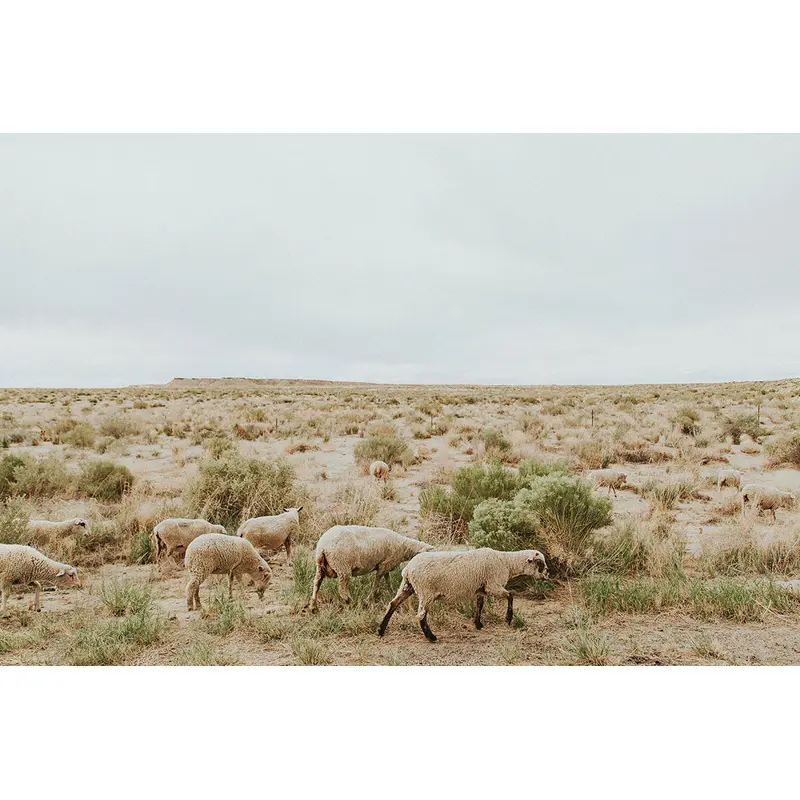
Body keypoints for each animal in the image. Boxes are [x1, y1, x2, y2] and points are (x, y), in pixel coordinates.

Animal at [379, 547, 548, 642]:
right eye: (540, 563)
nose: (548, 574)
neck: (507, 562)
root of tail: (407, 569)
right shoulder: (493, 585)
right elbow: (510, 595)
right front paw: (508, 618)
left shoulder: (481, 589)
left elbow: (480, 605)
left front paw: (478, 624)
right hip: (426, 591)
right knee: (421, 616)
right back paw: (431, 637)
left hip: (407, 586)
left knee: (393, 604)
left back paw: (381, 630)